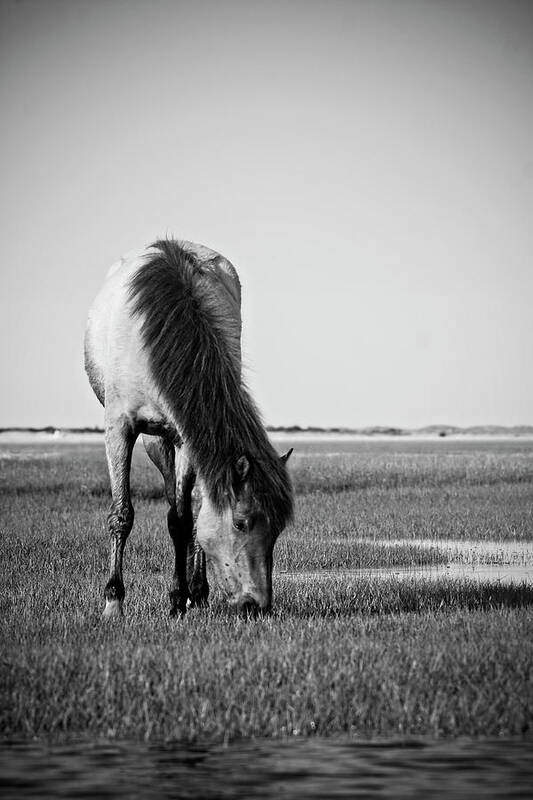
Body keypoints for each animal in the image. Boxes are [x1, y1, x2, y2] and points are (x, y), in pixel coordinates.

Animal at [83, 238, 294, 620]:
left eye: (277, 529)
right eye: (241, 522)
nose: (257, 606)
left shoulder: (186, 439)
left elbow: (182, 521)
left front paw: (179, 598)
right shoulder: (119, 429)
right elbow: (122, 514)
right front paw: (113, 600)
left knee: (190, 507)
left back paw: (198, 591)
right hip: (154, 441)